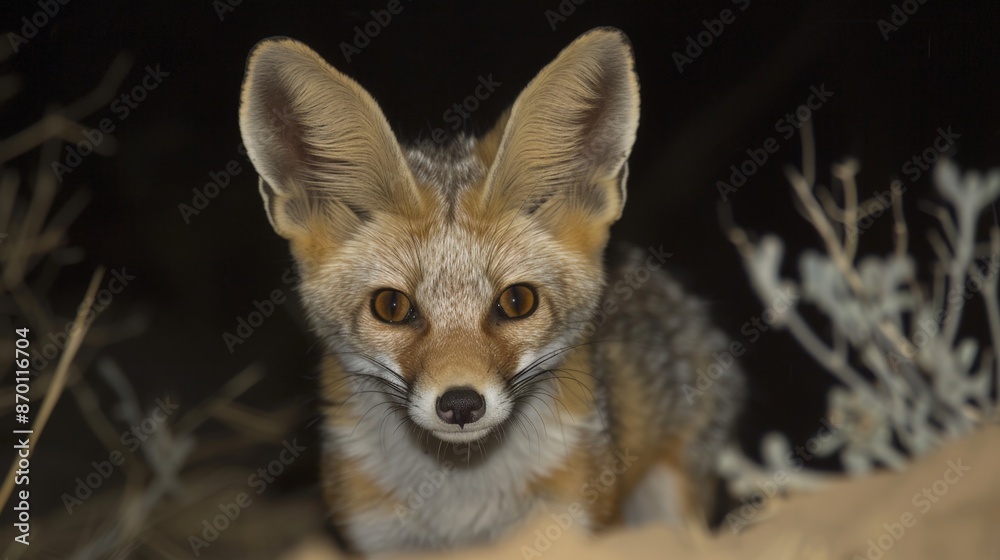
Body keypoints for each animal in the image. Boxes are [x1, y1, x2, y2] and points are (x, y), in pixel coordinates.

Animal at [238, 27, 744, 554]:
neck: (461, 504)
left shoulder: (571, 522)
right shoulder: (377, 536)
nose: (461, 405)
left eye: (517, 302)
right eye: (392, 306)